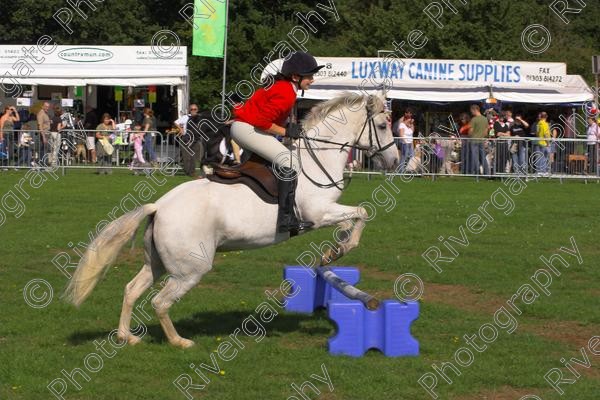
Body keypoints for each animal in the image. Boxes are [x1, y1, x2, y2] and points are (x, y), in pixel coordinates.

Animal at [65, 92, 398, 348]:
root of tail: (158, 206)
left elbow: (351, 220)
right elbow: (363, 213)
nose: (395, 161)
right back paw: (179, 342)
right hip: (190, 270)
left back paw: (127, 337)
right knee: (160, 302)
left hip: (157, 263)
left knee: (132, 290)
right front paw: (339, 250)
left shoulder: (328, 211)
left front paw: (335, 250)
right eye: (383, 125)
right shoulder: (318, 213)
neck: (318, 158)